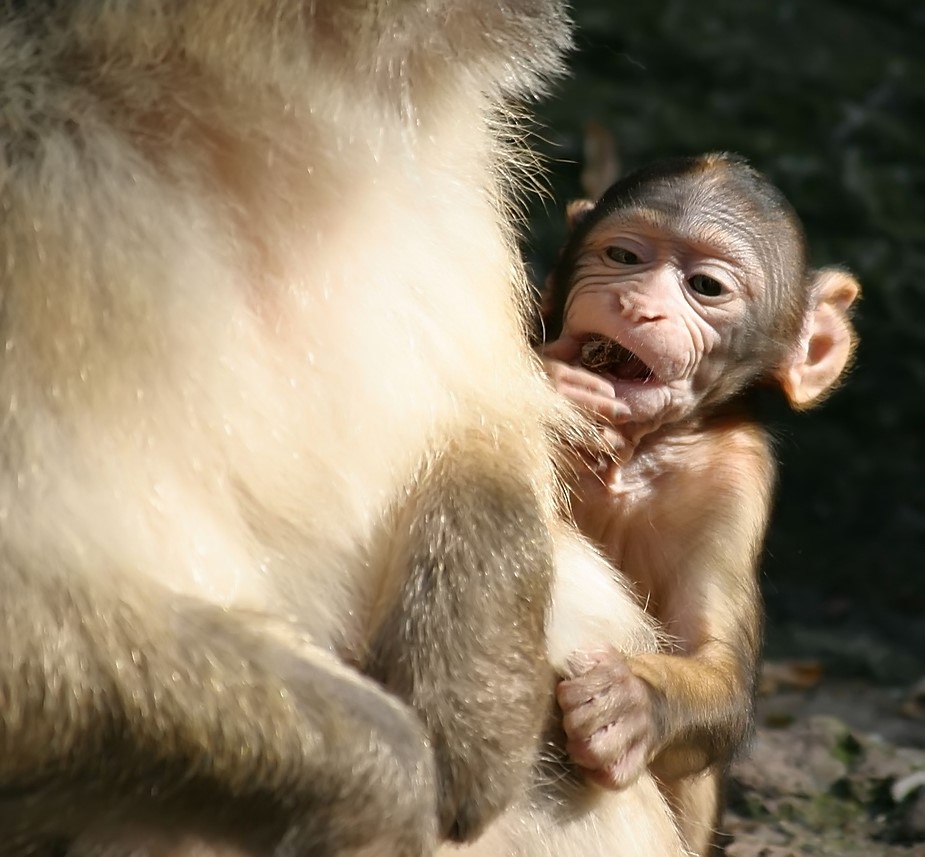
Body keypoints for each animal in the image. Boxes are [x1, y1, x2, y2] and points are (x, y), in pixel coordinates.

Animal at [540, 155, 860, 856]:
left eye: (705, 287)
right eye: (624, 255)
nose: (637, 305)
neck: (633, 453)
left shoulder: (734, 479)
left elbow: (715, 665)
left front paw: (633, 705)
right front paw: (554, 388)